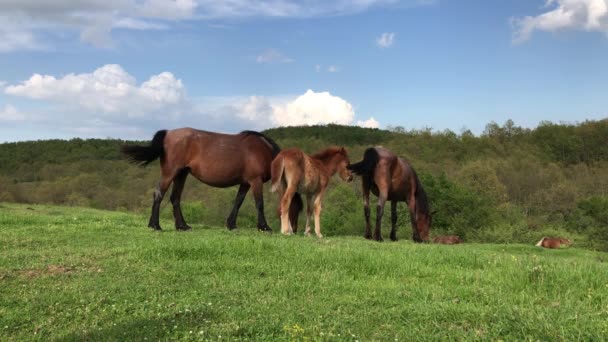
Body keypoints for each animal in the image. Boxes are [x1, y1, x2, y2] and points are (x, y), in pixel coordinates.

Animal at [121, 128, 302, 232]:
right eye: (296, 208)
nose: (293, 231)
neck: (264, 151)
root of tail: (168, 134)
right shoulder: (255, 181)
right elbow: (259, 204)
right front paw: (264, 227)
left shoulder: (245, 183)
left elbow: (238, 202)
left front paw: (231, 224)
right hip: (170, 173)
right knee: (159, 194)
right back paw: (156, 225)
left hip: (181, 174)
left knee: (175, 198)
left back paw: (182, 226)